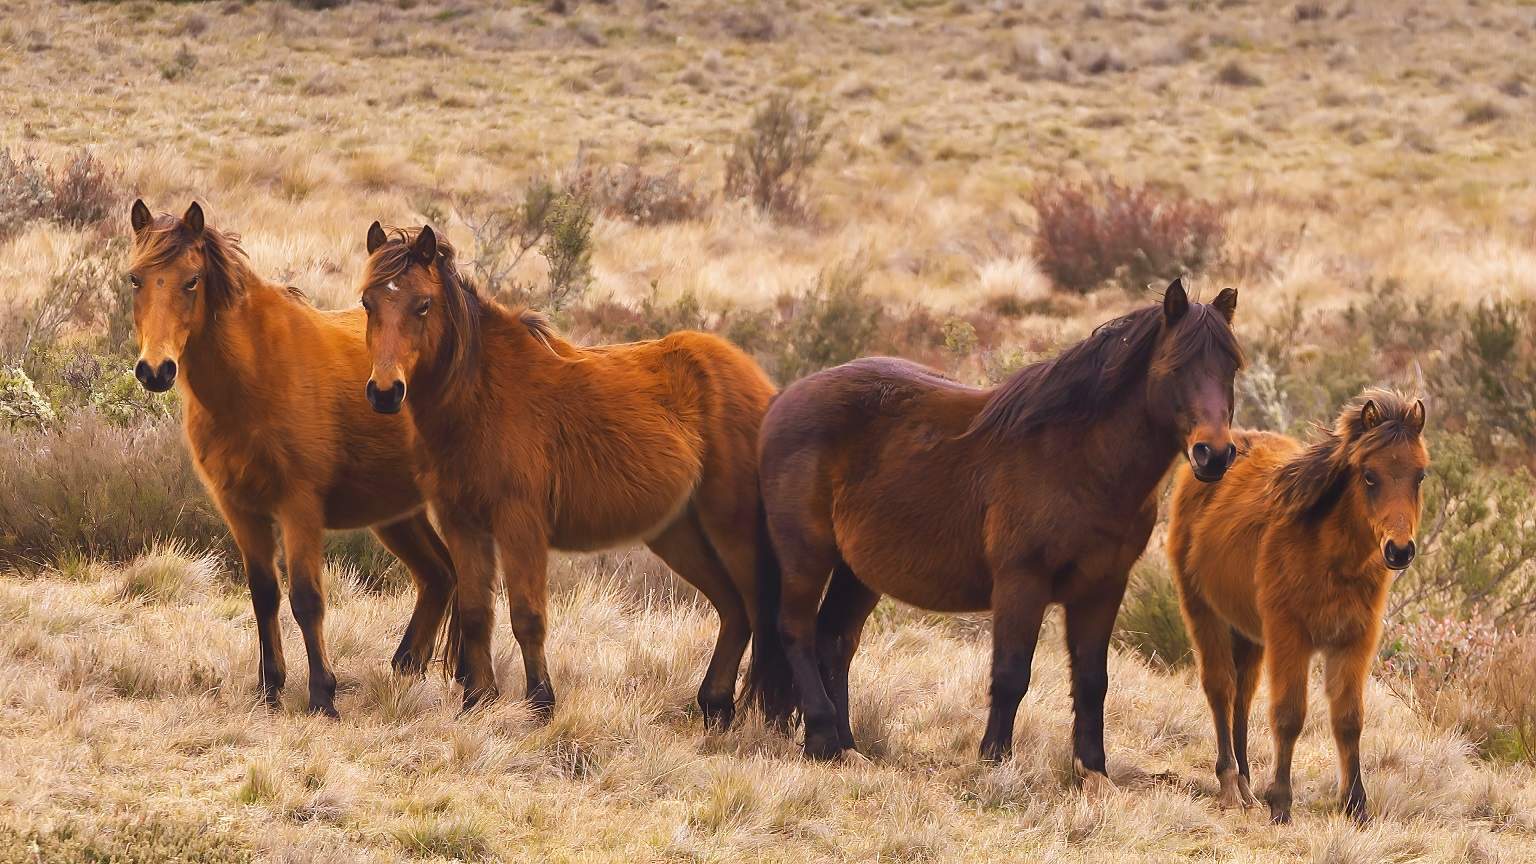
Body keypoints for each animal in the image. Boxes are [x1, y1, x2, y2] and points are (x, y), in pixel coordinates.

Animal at [129, 199, 454, 713]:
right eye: (135, 278)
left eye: (191, 280)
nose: (155, 370)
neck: (257, 373)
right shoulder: (241, 510)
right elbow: (264, 595)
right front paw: (271, 689)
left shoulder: (299, 507)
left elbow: (306, 598)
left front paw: (323, 695)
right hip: (397, 515)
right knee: (438, 575)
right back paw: (406, 669)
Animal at [354, 222, 798, 725]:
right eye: (368, 302)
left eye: (423, 304)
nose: (385, 392)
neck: (480, 394)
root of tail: (759, 383)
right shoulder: (462, 524)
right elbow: (475, 612)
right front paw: (478, 701)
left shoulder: (520, 525)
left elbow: (527, 616)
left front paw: (541, 703)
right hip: (678, 534)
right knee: (734, 611)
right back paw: (714, 706)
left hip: (733, 532)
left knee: (759, 612)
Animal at [761, 279, 1241, 784]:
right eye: (1177, 365)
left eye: (1230, 365)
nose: (1214, 454)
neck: (1079, 461)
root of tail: (784, 397)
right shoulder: (1021, 581)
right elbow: (1011, 673)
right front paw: (995, 758)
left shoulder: (1102, 587)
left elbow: (1093, 679)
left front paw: (1093, 769)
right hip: (806, 555)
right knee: (796, 630)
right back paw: (822, 737)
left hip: (858, 572)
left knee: (835, 642)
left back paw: (847, 746)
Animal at [1173, 388, 1425, 817]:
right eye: (1369, 475)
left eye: (1420, 475)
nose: (1399, 550)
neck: (1330, 558)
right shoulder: (1291, 636)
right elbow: (1289, 715)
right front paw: (1281, 802)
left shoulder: (1353, 641)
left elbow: (1349, 719)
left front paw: (1356, 805)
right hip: (1204, 613)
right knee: (1221, 688)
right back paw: (1229, 783)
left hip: (1249, 633)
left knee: (1243, 695)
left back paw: (1246, 784)